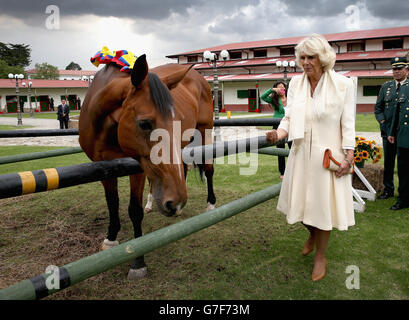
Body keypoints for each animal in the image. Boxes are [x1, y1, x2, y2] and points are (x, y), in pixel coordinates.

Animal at [77, 55, 215, 280]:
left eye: (178, 121)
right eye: (144, 123)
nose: (175, 202)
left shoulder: (138, 167)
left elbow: (134, 210)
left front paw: (138, 261)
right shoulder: (103, 167)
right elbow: (112, 203)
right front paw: (111, 238)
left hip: (205, 131)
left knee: (208, 169)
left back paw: (210, 204)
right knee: (182, 169)